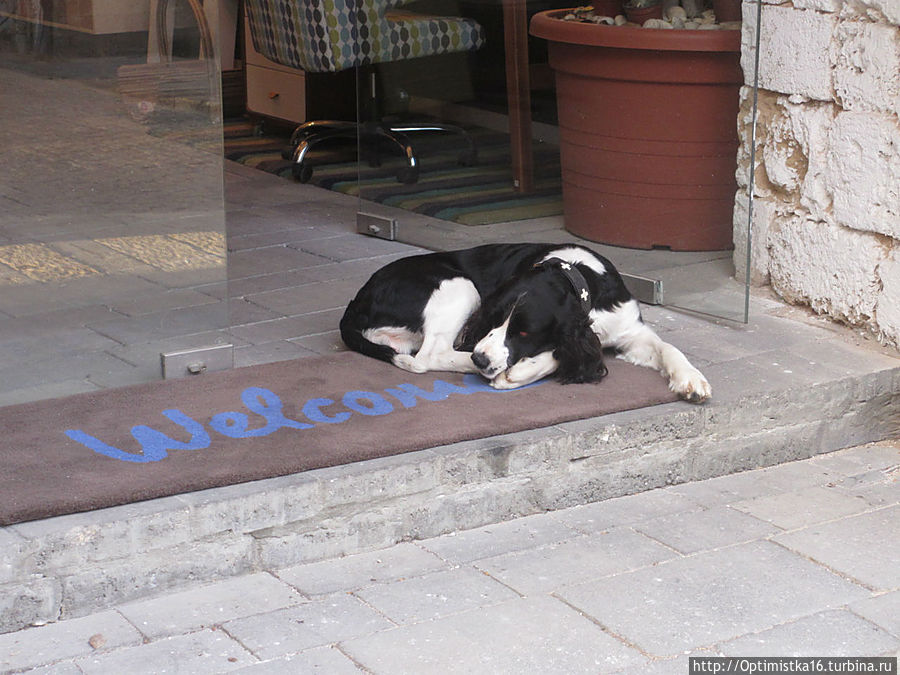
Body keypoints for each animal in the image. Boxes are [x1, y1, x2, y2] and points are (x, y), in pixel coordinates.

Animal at [338, 243, 712, 402]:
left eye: (522, 331)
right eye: (493, 318)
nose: (480, 358)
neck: (574, 273)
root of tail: (358, 300)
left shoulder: (630, 329)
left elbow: (667, 347)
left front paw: (691, 380)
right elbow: (560, 353)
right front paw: (518, 371)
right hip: (457, 284)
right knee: (429, 356)